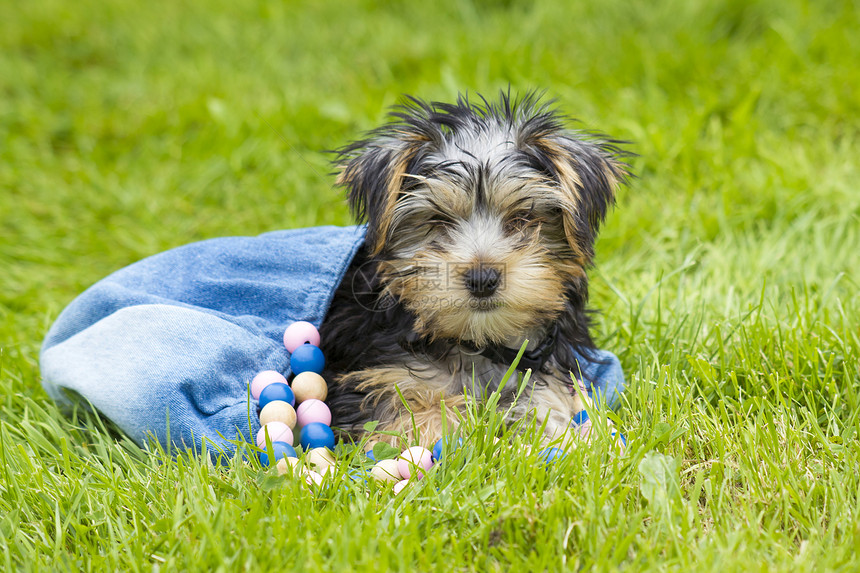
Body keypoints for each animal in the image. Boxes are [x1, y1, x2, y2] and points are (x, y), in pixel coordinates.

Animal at [320, 90, 628, 446]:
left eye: (522, 218)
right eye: (438, 221)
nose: (483, 278)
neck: (478, 342)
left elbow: (546, 403)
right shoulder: (375, 375)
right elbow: (407, 410)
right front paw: (438, 427)